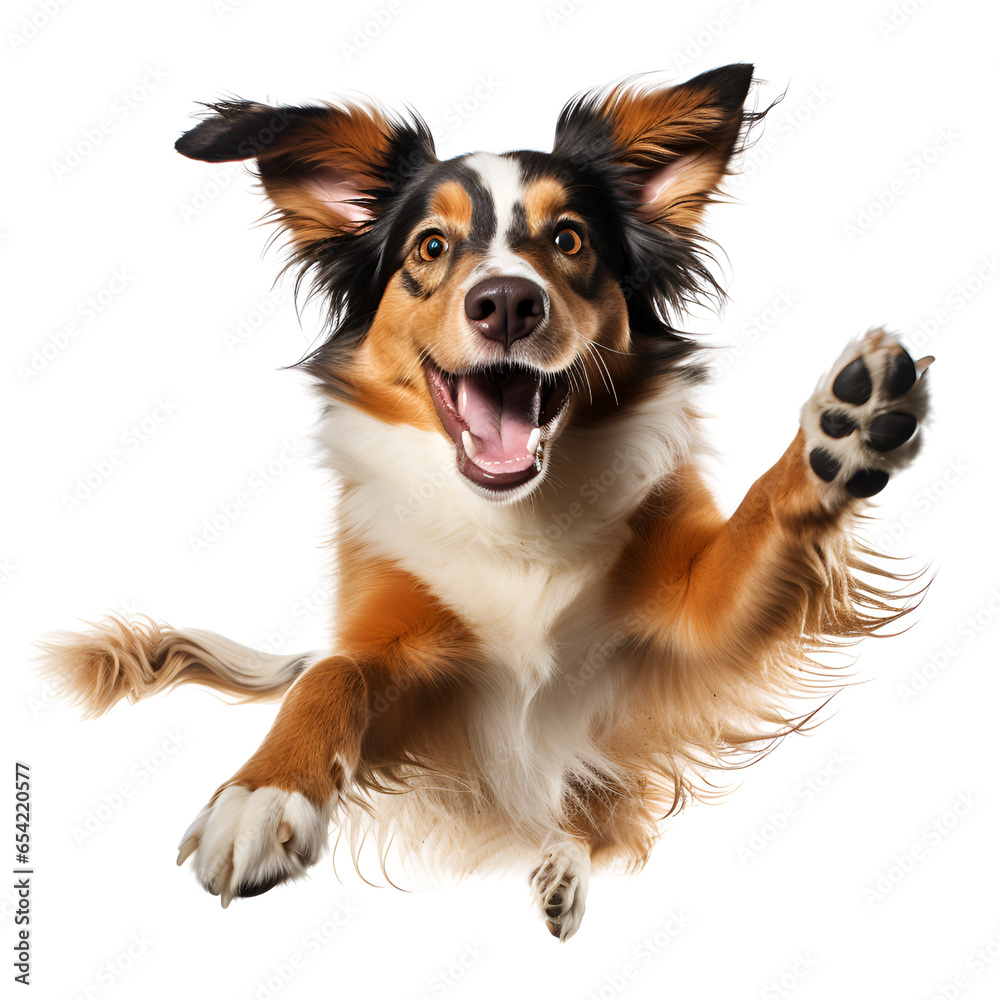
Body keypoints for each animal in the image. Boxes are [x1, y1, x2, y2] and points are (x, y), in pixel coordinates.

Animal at [39, 66, 928, 940]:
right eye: (431, 245)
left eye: (569, 238)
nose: (506, 302)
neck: (515, 521)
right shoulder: (418, 680)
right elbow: (329, 675)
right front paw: (262, 794)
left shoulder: (689, 628)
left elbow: (756, 516)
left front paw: (842, 432)